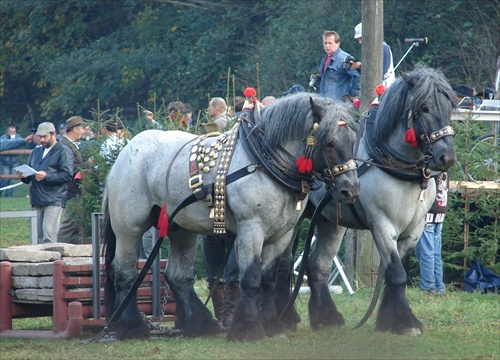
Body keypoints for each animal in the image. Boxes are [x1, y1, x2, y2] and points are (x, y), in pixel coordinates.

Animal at [101, 92, 360, 340]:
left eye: (353, 141)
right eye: (329, 143)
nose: (350, 189)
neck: (263, 161)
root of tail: (123, 155)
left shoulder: (281, 235)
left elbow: (268, 279)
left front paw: (271, 324)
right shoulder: (251, 228)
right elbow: (250, 278)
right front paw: (248, 328)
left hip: (182, 228)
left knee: (178, 276)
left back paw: (200, 325)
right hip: (129, 227)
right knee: (124, 274)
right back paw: (132, 328)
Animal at [278, 67, 458, 334]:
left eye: (449, 107)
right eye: (425, 108)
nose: (447, 157)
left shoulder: (414, 230)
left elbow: (397, 272)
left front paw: (389, 318)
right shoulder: (382, 225)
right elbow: (396, 273)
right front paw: (404, 322)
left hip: (331, 222)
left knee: (317, 266)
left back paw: (326, 318)